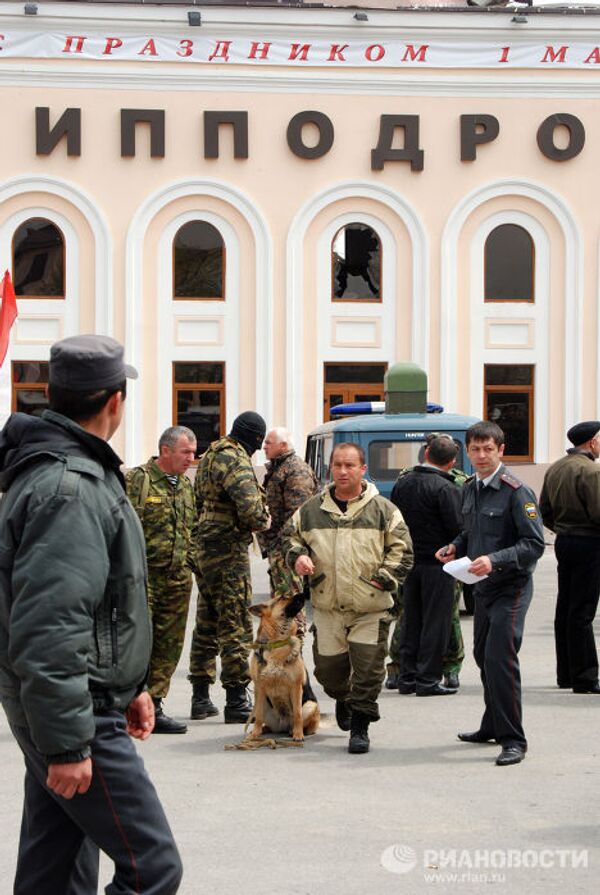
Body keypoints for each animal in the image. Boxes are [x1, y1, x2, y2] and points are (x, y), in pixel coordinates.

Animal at [247, 596, 322, 744]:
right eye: (282, 598)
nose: (303, 594)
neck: (277, 643)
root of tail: (283, 725)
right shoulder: (259, 686)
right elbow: (258, 715)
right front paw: (254, 734)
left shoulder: (296, 687)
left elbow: (298, 714)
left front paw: (298, 735)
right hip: (264, 704)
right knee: (262, 719)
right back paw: (262, 730)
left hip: (310, 705)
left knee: (304, 723)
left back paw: (295, 731)